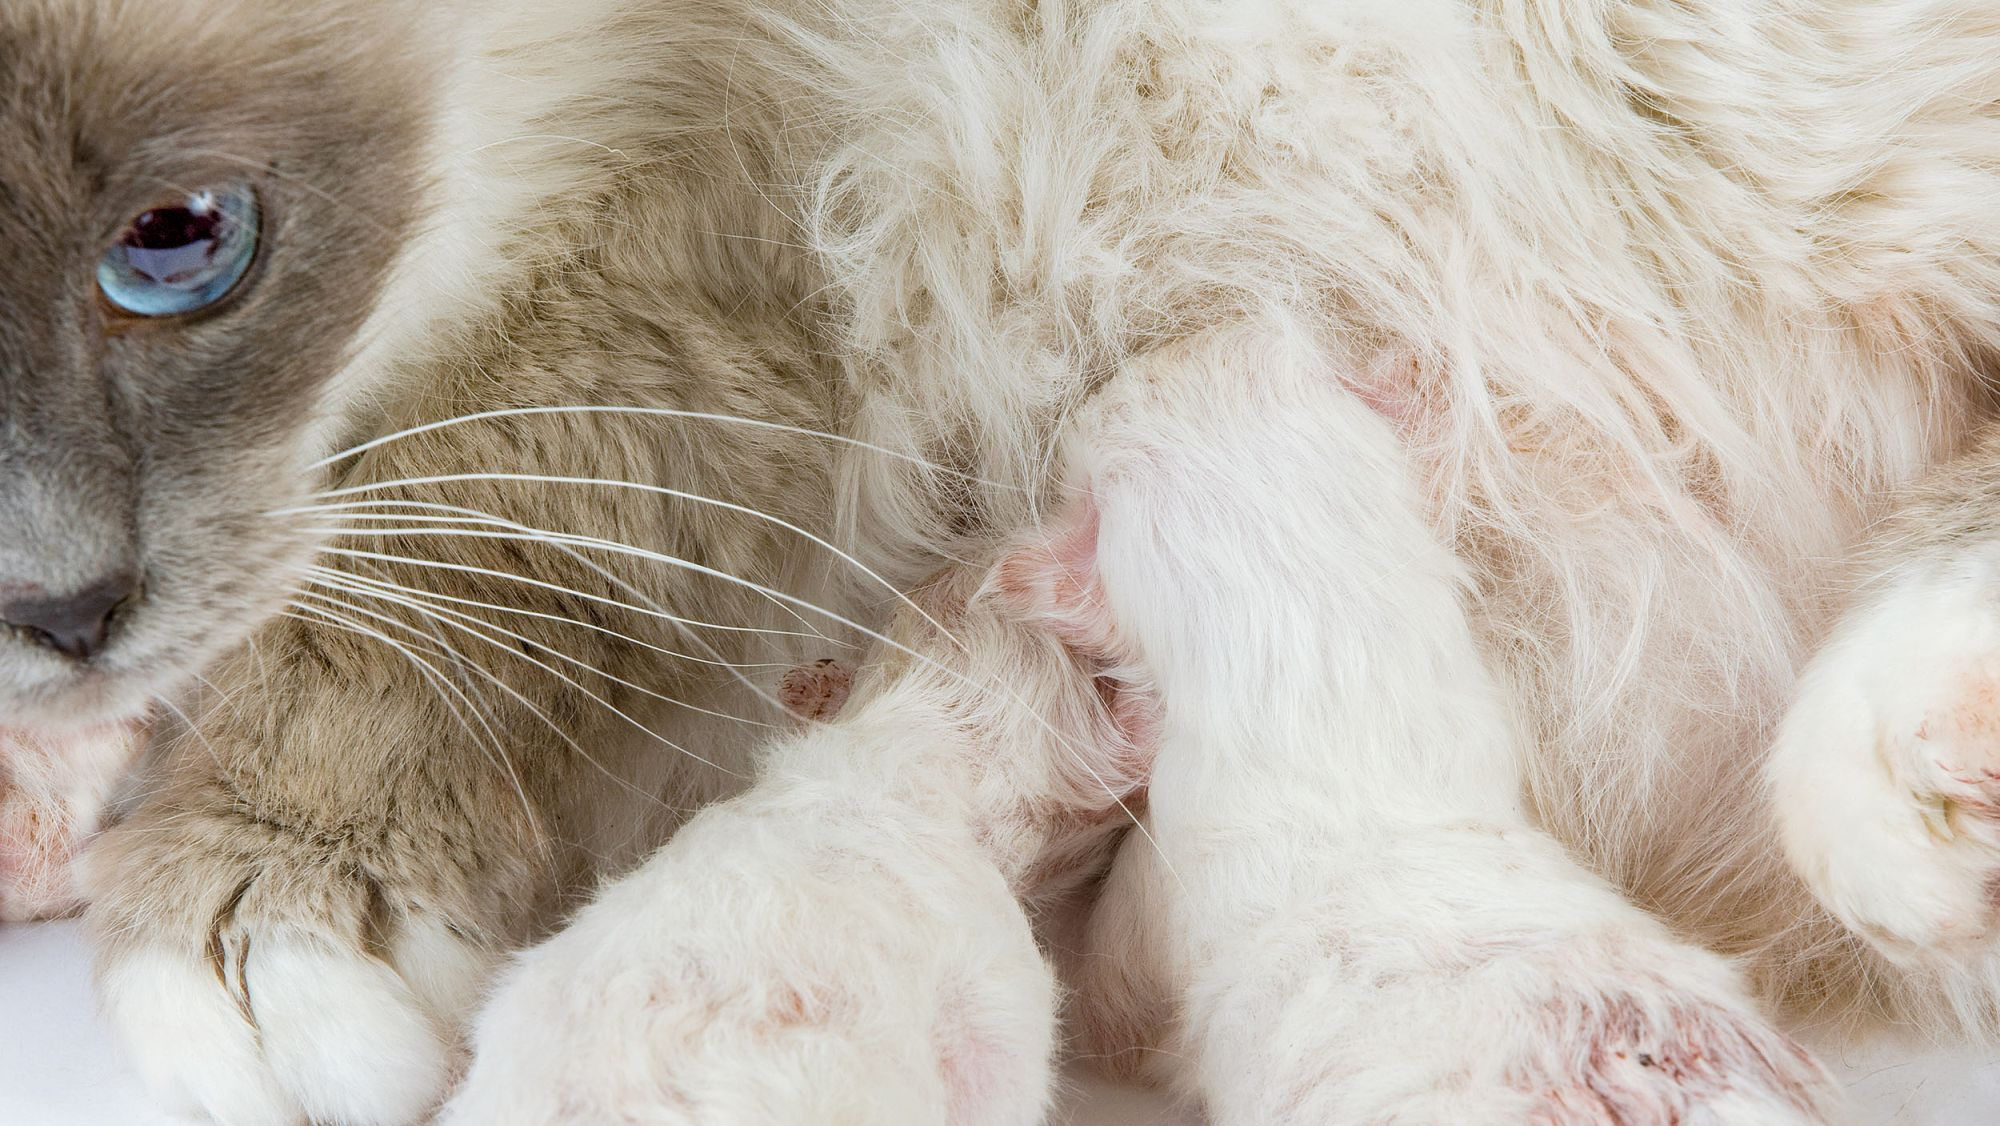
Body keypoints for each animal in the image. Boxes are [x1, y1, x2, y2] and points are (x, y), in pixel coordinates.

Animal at [3, 0, 2000, 1120]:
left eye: (179, 243)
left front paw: (258, 882)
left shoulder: (728, 187)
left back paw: (1913, 768)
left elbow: (469, 518)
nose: (58, 614)